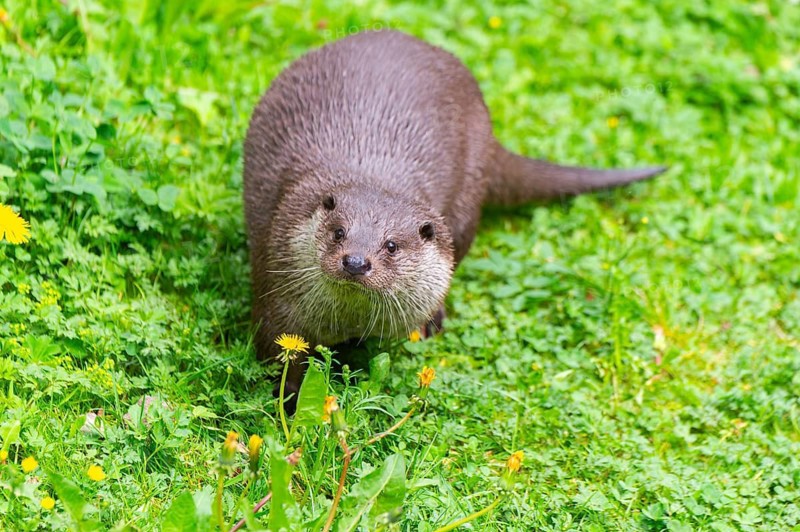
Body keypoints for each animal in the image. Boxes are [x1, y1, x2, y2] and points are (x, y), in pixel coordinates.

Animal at [244, 30, 664, 396]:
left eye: (392, 245)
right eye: (338, 232)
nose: (356, 262)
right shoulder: (279, 302)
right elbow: (282, 366)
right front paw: (291, 409)